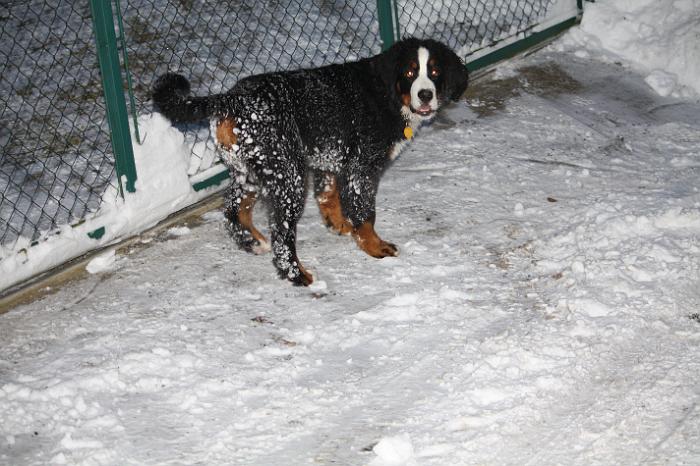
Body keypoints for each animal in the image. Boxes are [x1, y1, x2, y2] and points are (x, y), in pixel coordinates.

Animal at [154, 40, 470, 286]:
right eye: (409, 72)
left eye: (435, 72)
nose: (425, 95)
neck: (386, 94)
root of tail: (232, 98)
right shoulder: (361, 168)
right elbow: (365, 213)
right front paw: (374, 246)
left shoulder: (329, 161)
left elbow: (329, 196)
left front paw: (339, 225)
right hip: (288, 174)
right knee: (281, 234)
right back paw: (297, 275)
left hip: (249, 170)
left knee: (233, 209)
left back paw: (253, 243)